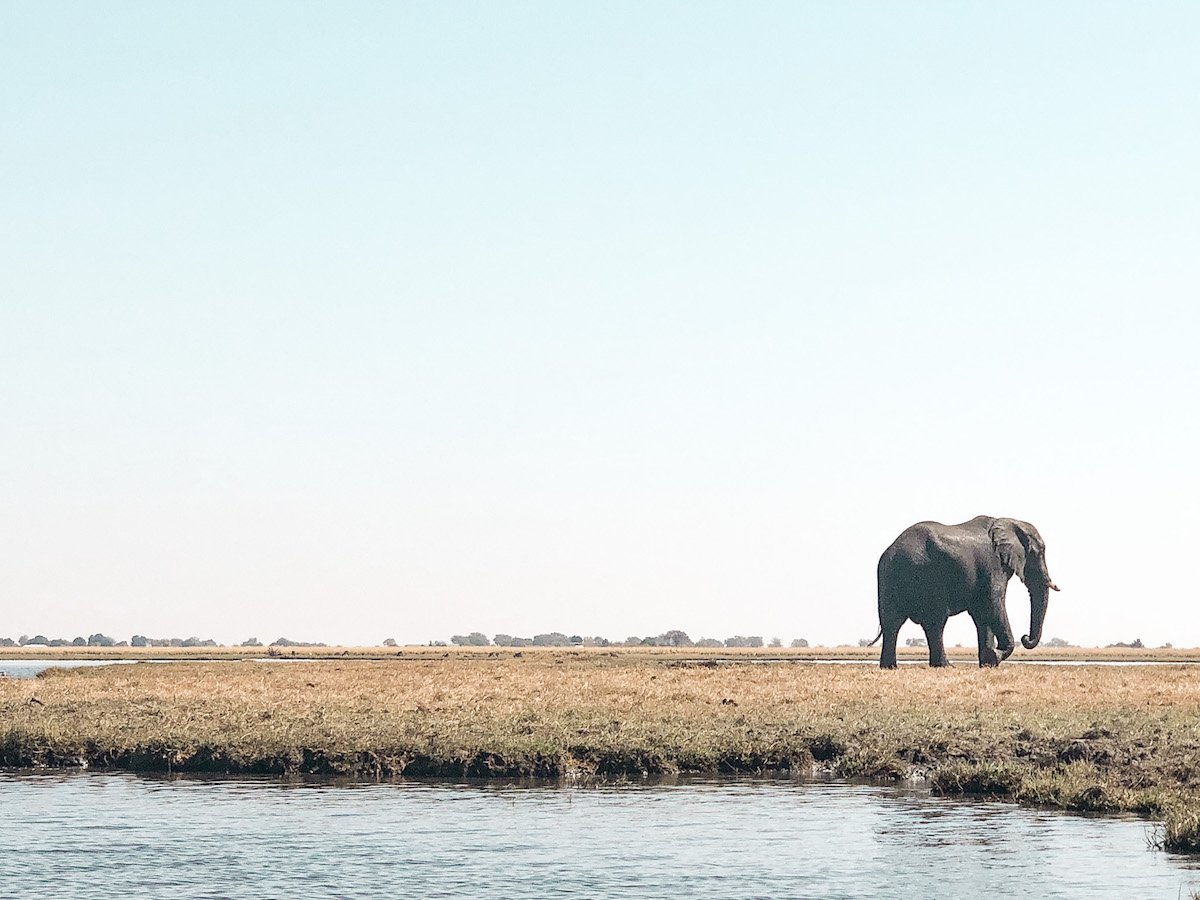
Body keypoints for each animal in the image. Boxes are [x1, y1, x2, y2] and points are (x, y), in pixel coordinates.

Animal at [869, 516, 1059, 669]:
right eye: (1039, 552)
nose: (1025, 637)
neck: (1011, 522)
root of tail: (894, 549)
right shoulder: (993, 565)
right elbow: (993, 604)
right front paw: (994, 656)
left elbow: (982, 614)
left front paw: (988, 663)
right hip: (928, 576)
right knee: (935, 622)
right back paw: (945, 666)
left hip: (887, 574)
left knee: (892, 622)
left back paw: (890, 667)